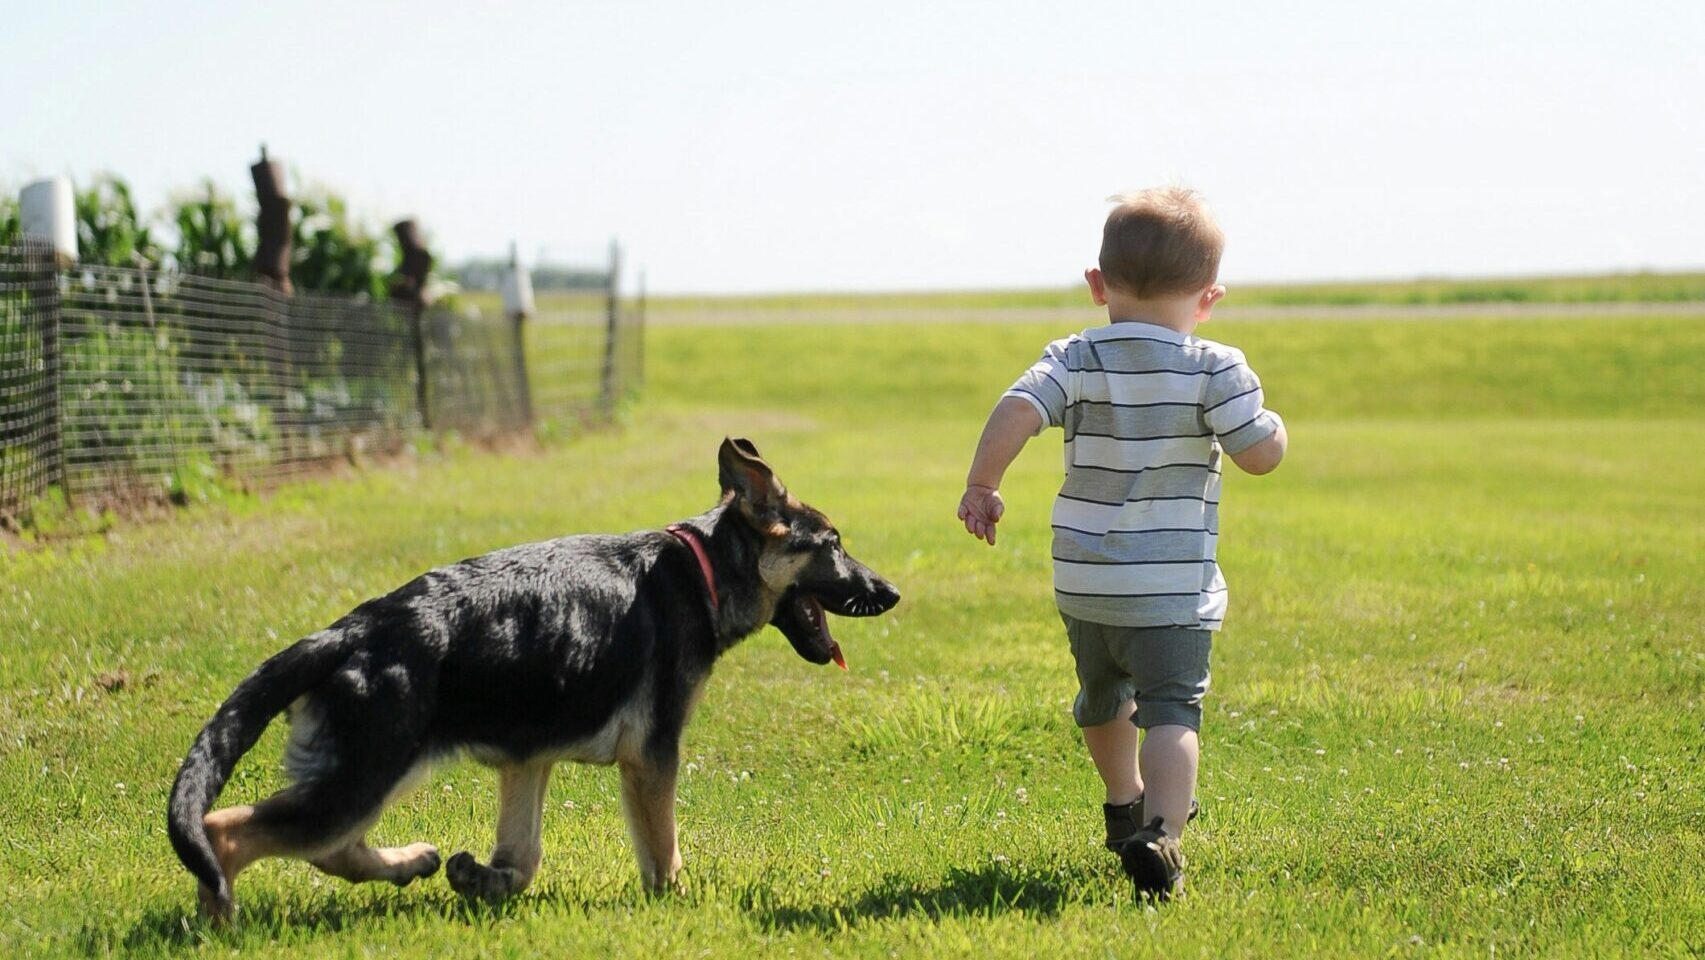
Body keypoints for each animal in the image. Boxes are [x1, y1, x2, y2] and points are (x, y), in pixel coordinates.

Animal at [166, 439, 900, 920]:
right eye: (833, 544)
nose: (891, 593)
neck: (704, 568)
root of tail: (348, 632)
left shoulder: (529, 758)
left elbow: (522, 858)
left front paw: (483, 880)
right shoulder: (651, 756)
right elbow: (663, 853)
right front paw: (681, 908)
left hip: (368, 771)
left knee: (328, 848)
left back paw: (413, 863)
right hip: (368, 771)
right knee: (229, 831)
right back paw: (220, 921)